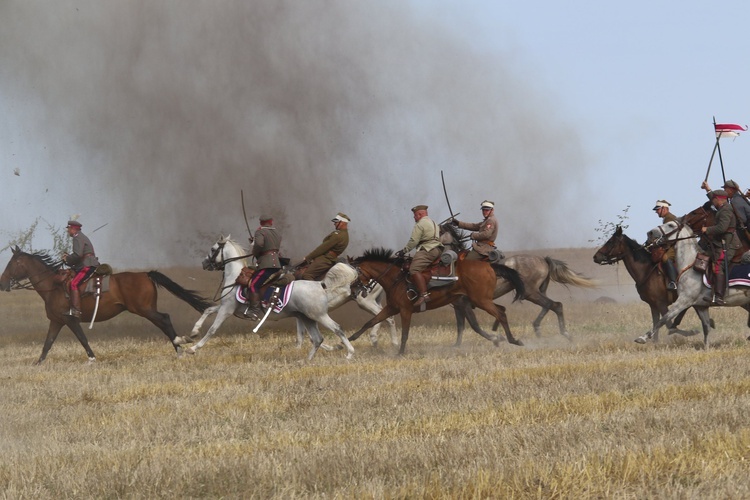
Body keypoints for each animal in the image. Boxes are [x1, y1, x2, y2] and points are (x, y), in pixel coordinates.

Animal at [0, 246, 212, 364]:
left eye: (12, 263)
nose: (2, 283)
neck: (53, 286)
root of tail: (146, 274)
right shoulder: (57, 321)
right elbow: (47, 344)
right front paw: (37, 364)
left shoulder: (70, 319)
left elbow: (82, 339)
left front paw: (92, 359)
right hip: (146, 309)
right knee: (164, 321)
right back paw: (179, 348)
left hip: (145, 310)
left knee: (165, 319)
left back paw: (179, 345)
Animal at [348, 248, 528, 354]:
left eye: (356, 274)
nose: (353, 291)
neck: (395, 279)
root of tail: (489, 266)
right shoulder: (392, 308)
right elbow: (370, 322)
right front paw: (349, 339)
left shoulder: (406, 311)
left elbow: (405, 333)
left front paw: (400, 353)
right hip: (482, 300)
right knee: (501, 310)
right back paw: (504, 338)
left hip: (481, 300)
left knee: (500, 313)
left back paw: (513, 340)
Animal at [440, 224, 600, 344]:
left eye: (440, 231)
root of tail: (543, 259)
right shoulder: (459, 305)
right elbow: (461, 327)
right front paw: (457, 346)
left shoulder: (464, 303)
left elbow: (473, 325)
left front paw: (496, 338)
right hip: (538, 291)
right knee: (549, 305)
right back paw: (539, 329)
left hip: (530, 292)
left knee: (554, 305)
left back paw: (562, 333)